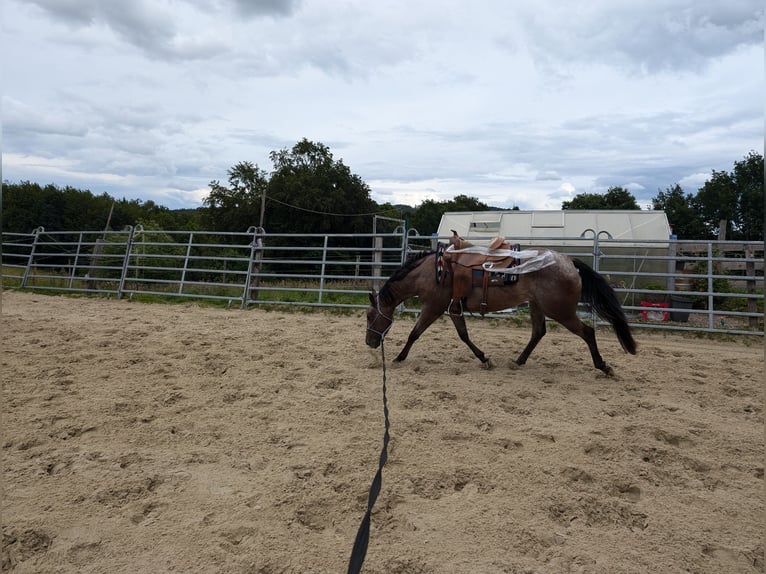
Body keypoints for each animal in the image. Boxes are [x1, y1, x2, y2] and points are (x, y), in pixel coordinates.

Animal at [366, 249, 636, 378]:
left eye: (369, 316)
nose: (369, 342)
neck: (432, 272)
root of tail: (569, 261)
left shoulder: (434, 306)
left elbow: (414, 333)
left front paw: (399, 357)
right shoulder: (453, 310)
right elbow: (463, 335)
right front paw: (484, 359)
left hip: (560, 311)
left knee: (587, 332)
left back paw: (603, 366)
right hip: (538, 306)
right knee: (538, 332)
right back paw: (518, 361)